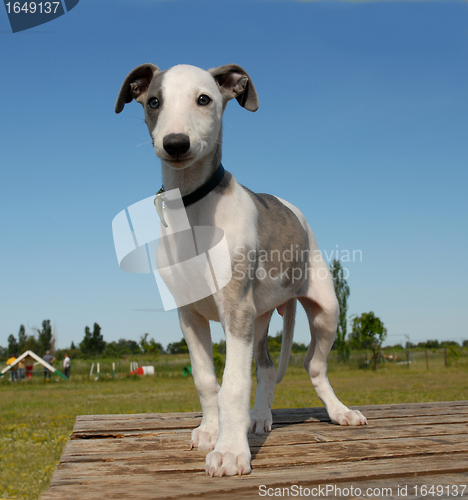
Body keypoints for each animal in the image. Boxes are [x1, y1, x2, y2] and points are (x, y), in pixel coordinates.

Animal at [115, 62, 368, 476]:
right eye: (153, 101)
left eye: (204, 99)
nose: (175, 143)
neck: (193, 206)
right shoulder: (189, 315)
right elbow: (206, 380)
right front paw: (210, 431)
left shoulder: (235, 308)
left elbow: (233, 384)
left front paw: (231, 451)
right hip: (261, 318)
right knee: (265, 367)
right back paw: (260, 418)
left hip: (325, 311)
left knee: (313, 365)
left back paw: (340, 412)